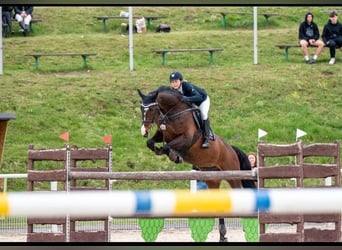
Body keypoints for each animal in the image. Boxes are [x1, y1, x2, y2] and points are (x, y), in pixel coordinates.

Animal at [136, 85, 254, 242]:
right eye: (141, 108)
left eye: (152, 109)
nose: (144, 131)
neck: (172, 113)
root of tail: (231, 149)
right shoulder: (163, 134)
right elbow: (151, 143)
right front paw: (161, 151)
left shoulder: (186, 137)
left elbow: (168, 146)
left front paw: (174, 155)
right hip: (212, 179)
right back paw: (222, 235)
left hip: (233, 175)